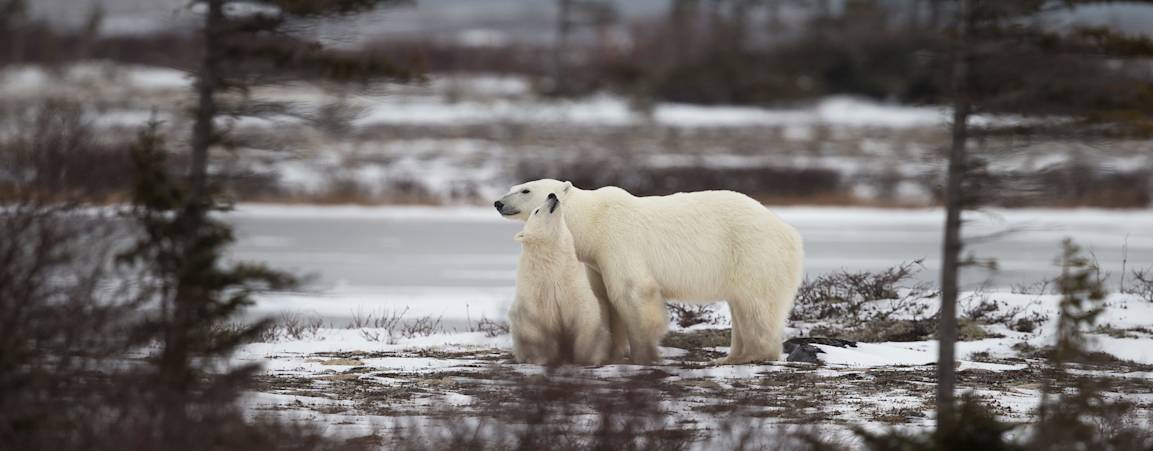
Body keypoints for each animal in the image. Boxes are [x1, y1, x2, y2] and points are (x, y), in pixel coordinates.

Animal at [493, 178, 802, 364]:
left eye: (525, 190)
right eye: (516, 186)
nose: (498, 202)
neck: (593, 221)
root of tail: (789, 233)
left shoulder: (618, 241)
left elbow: (631, 294)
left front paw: (643, 353)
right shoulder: (597, 260)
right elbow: (605, 300)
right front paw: (613, 353)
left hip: (753, 253)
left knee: (755, 306)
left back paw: (748, 355)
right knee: (742, 306)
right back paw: (731, 356)